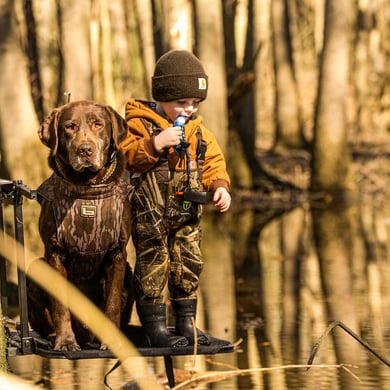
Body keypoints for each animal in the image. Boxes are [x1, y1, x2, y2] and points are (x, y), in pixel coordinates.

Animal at [27, 100, 134, 350]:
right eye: (70, 126)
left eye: (98, 124)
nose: (85, 150)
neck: (86, 187)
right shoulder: (55, 252)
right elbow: (60, 306)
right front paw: (66, 341)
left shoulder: (118, 253)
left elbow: (112, 301)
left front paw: (113, 341)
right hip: (36, 269)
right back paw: (54, 336)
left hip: (130, 275)